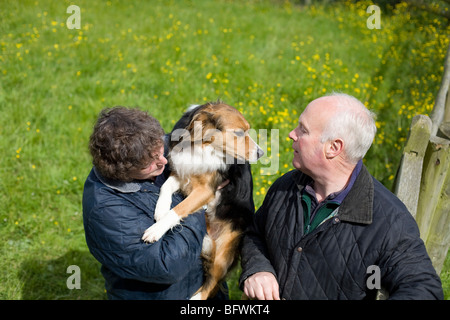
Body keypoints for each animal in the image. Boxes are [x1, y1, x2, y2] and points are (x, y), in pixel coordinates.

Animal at [142, 102, 264, 300]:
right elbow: (165, 188)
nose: (261, 153)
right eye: (239, 133)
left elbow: (179, 209)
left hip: (223, 252)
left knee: (212, 283)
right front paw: (160, 211)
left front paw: (156, 230)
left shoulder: (206, 190)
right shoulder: (183, 174)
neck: (203, 147)